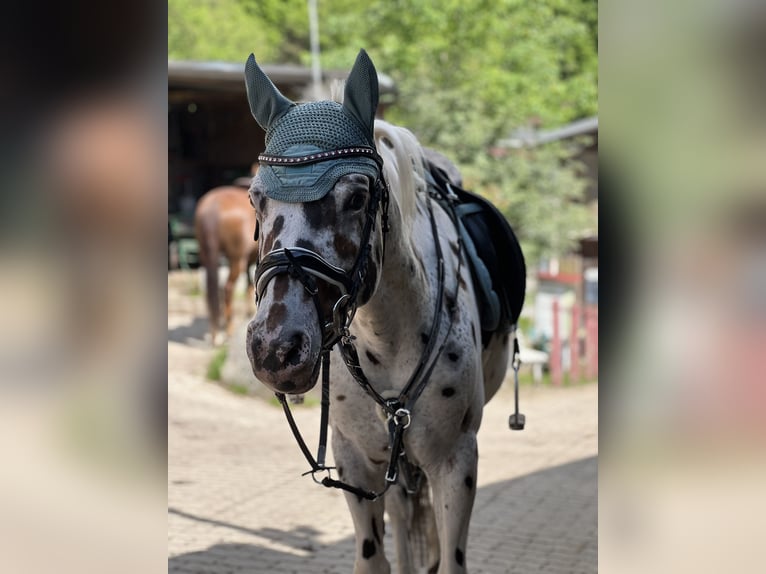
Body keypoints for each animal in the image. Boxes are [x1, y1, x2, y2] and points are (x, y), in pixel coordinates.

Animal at [194, 166, 260, 346]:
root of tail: (212, 209)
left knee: (212, 291)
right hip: (235, 259)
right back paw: (229, 329)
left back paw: (216, 331)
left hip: (207, 255)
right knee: (228, 288)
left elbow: (249, 284)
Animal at [246, 50, 528, 574]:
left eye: (357, 197)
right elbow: (373, 556)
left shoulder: (455, 462)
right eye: (256, 198)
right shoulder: (356, 462)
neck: (388, 336)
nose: (276, 348)